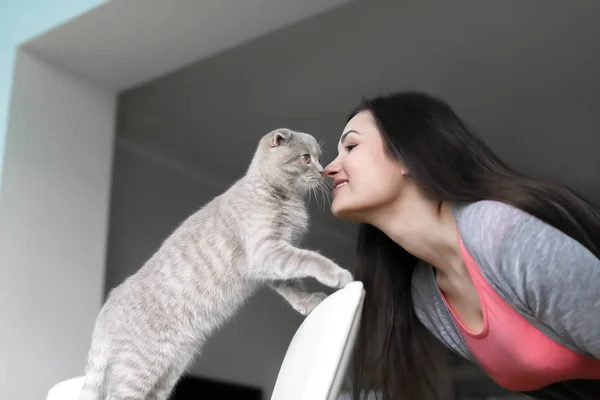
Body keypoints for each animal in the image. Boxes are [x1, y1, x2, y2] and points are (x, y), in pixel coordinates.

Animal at [77, 129, 354, 400]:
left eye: (320, 158)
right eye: (306, 158)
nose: (323, 170)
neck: (277, 194)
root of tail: (105, 309)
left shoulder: (271, 263)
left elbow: (292, 285)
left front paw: (306, 302)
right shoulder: (267, 251)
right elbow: (309, 259)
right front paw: (337, 274)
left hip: (168, 373)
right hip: (138, 370)